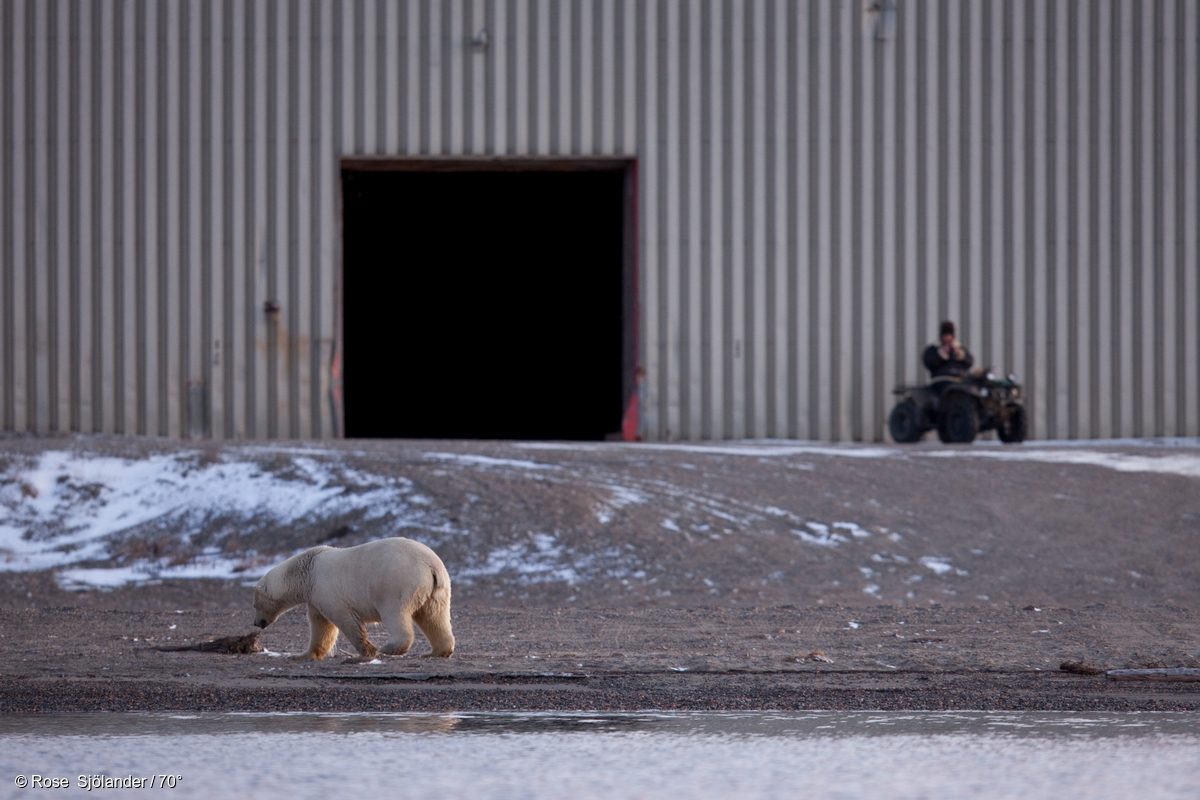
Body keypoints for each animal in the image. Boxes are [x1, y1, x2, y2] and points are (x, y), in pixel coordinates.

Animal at [252, 537, 455, 660]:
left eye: (255, 605)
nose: (256, 623)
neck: (309, 570)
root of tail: (430, 564)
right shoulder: (316, 597)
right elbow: (321, 626)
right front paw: (303, 655)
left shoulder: (328, 590)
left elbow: (345, 621)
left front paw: (368, 650)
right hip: (437, 590)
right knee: (434, 616)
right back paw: (435, 652)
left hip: (396, 584)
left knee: (395, 613)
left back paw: (389, 647)